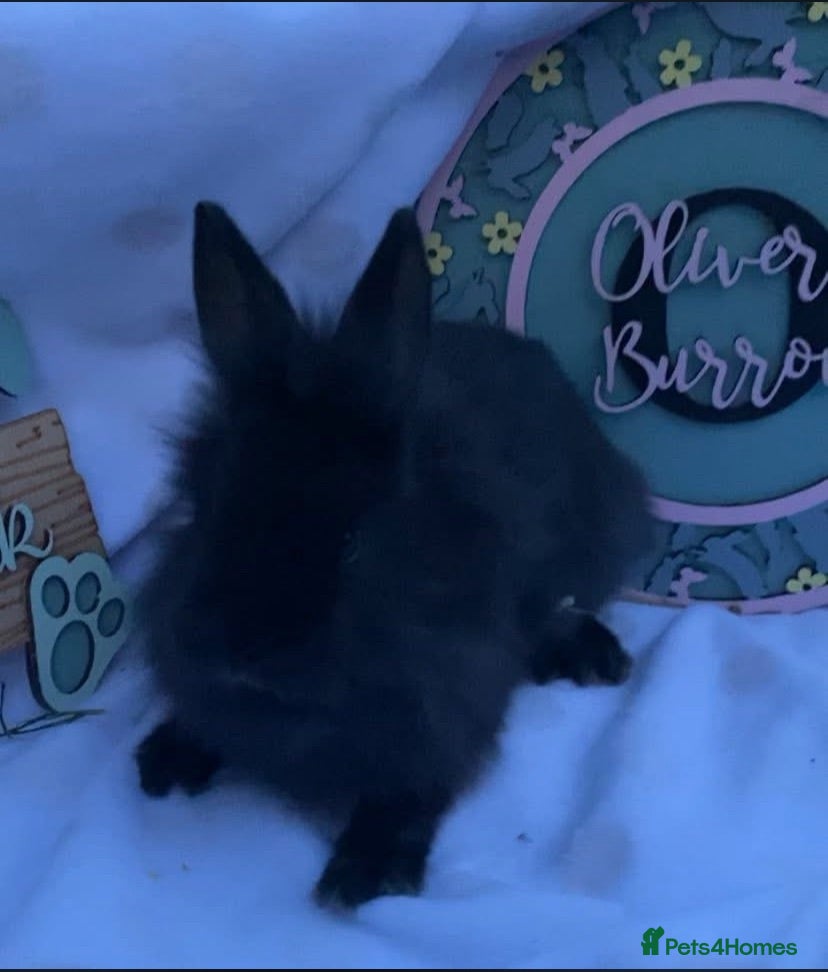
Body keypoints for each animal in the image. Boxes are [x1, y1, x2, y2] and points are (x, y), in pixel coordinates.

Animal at [135, 201, 655, 910]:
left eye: (352, 543)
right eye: (206, 507)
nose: (242, 652)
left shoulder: (447, 709)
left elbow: (410, 791)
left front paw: (363, 870)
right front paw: (165, 760)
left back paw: (597, 659)